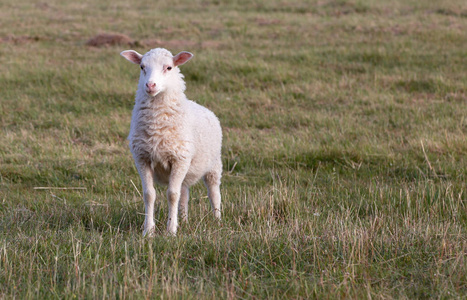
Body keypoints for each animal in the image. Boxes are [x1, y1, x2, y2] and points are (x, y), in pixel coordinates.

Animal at [120, 48, 223, 236]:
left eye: (168, 67)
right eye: (142, 67)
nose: (150, 85)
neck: (157, 127)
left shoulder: (180, 159)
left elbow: (172, 195)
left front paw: (171, 230)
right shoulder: (142, 158)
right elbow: (149, 194)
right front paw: (149, 230)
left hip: (214, 165)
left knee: (213, 192)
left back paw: (217, 219)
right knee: (184, 193)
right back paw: (184, 220)